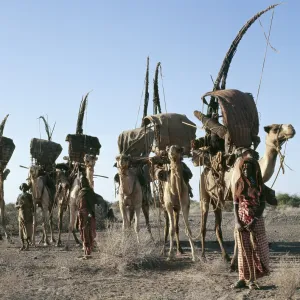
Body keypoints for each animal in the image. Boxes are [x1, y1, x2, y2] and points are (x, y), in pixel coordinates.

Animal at [199, 123, 296, 264]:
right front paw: (235, 262)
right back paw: (203, 256)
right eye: (275, 129)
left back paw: (225, 256)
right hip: (204, 195)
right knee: (203, 225)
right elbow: (236, 229)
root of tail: (206, 170)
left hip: (217, 201)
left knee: (217, 227)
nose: (291, 128)